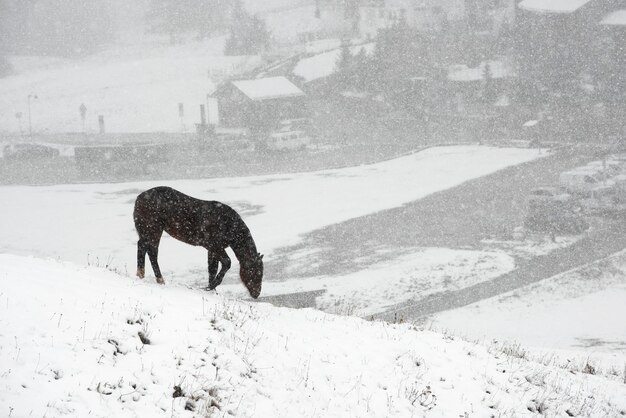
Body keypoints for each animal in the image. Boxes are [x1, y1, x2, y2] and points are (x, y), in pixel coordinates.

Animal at [133, 186, 262, 298]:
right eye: (255, 272)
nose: (257, 294)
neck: (228, 224)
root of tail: (139, 198)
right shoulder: (214, 246)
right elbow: (226, 262)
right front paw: (211, 286)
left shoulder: (211, 249)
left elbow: (212, 269)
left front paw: (211, 289)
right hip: (154, 230)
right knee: (152, 252)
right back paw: (160, 280)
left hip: (147, 232)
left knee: (142, 247)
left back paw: (141, 275)